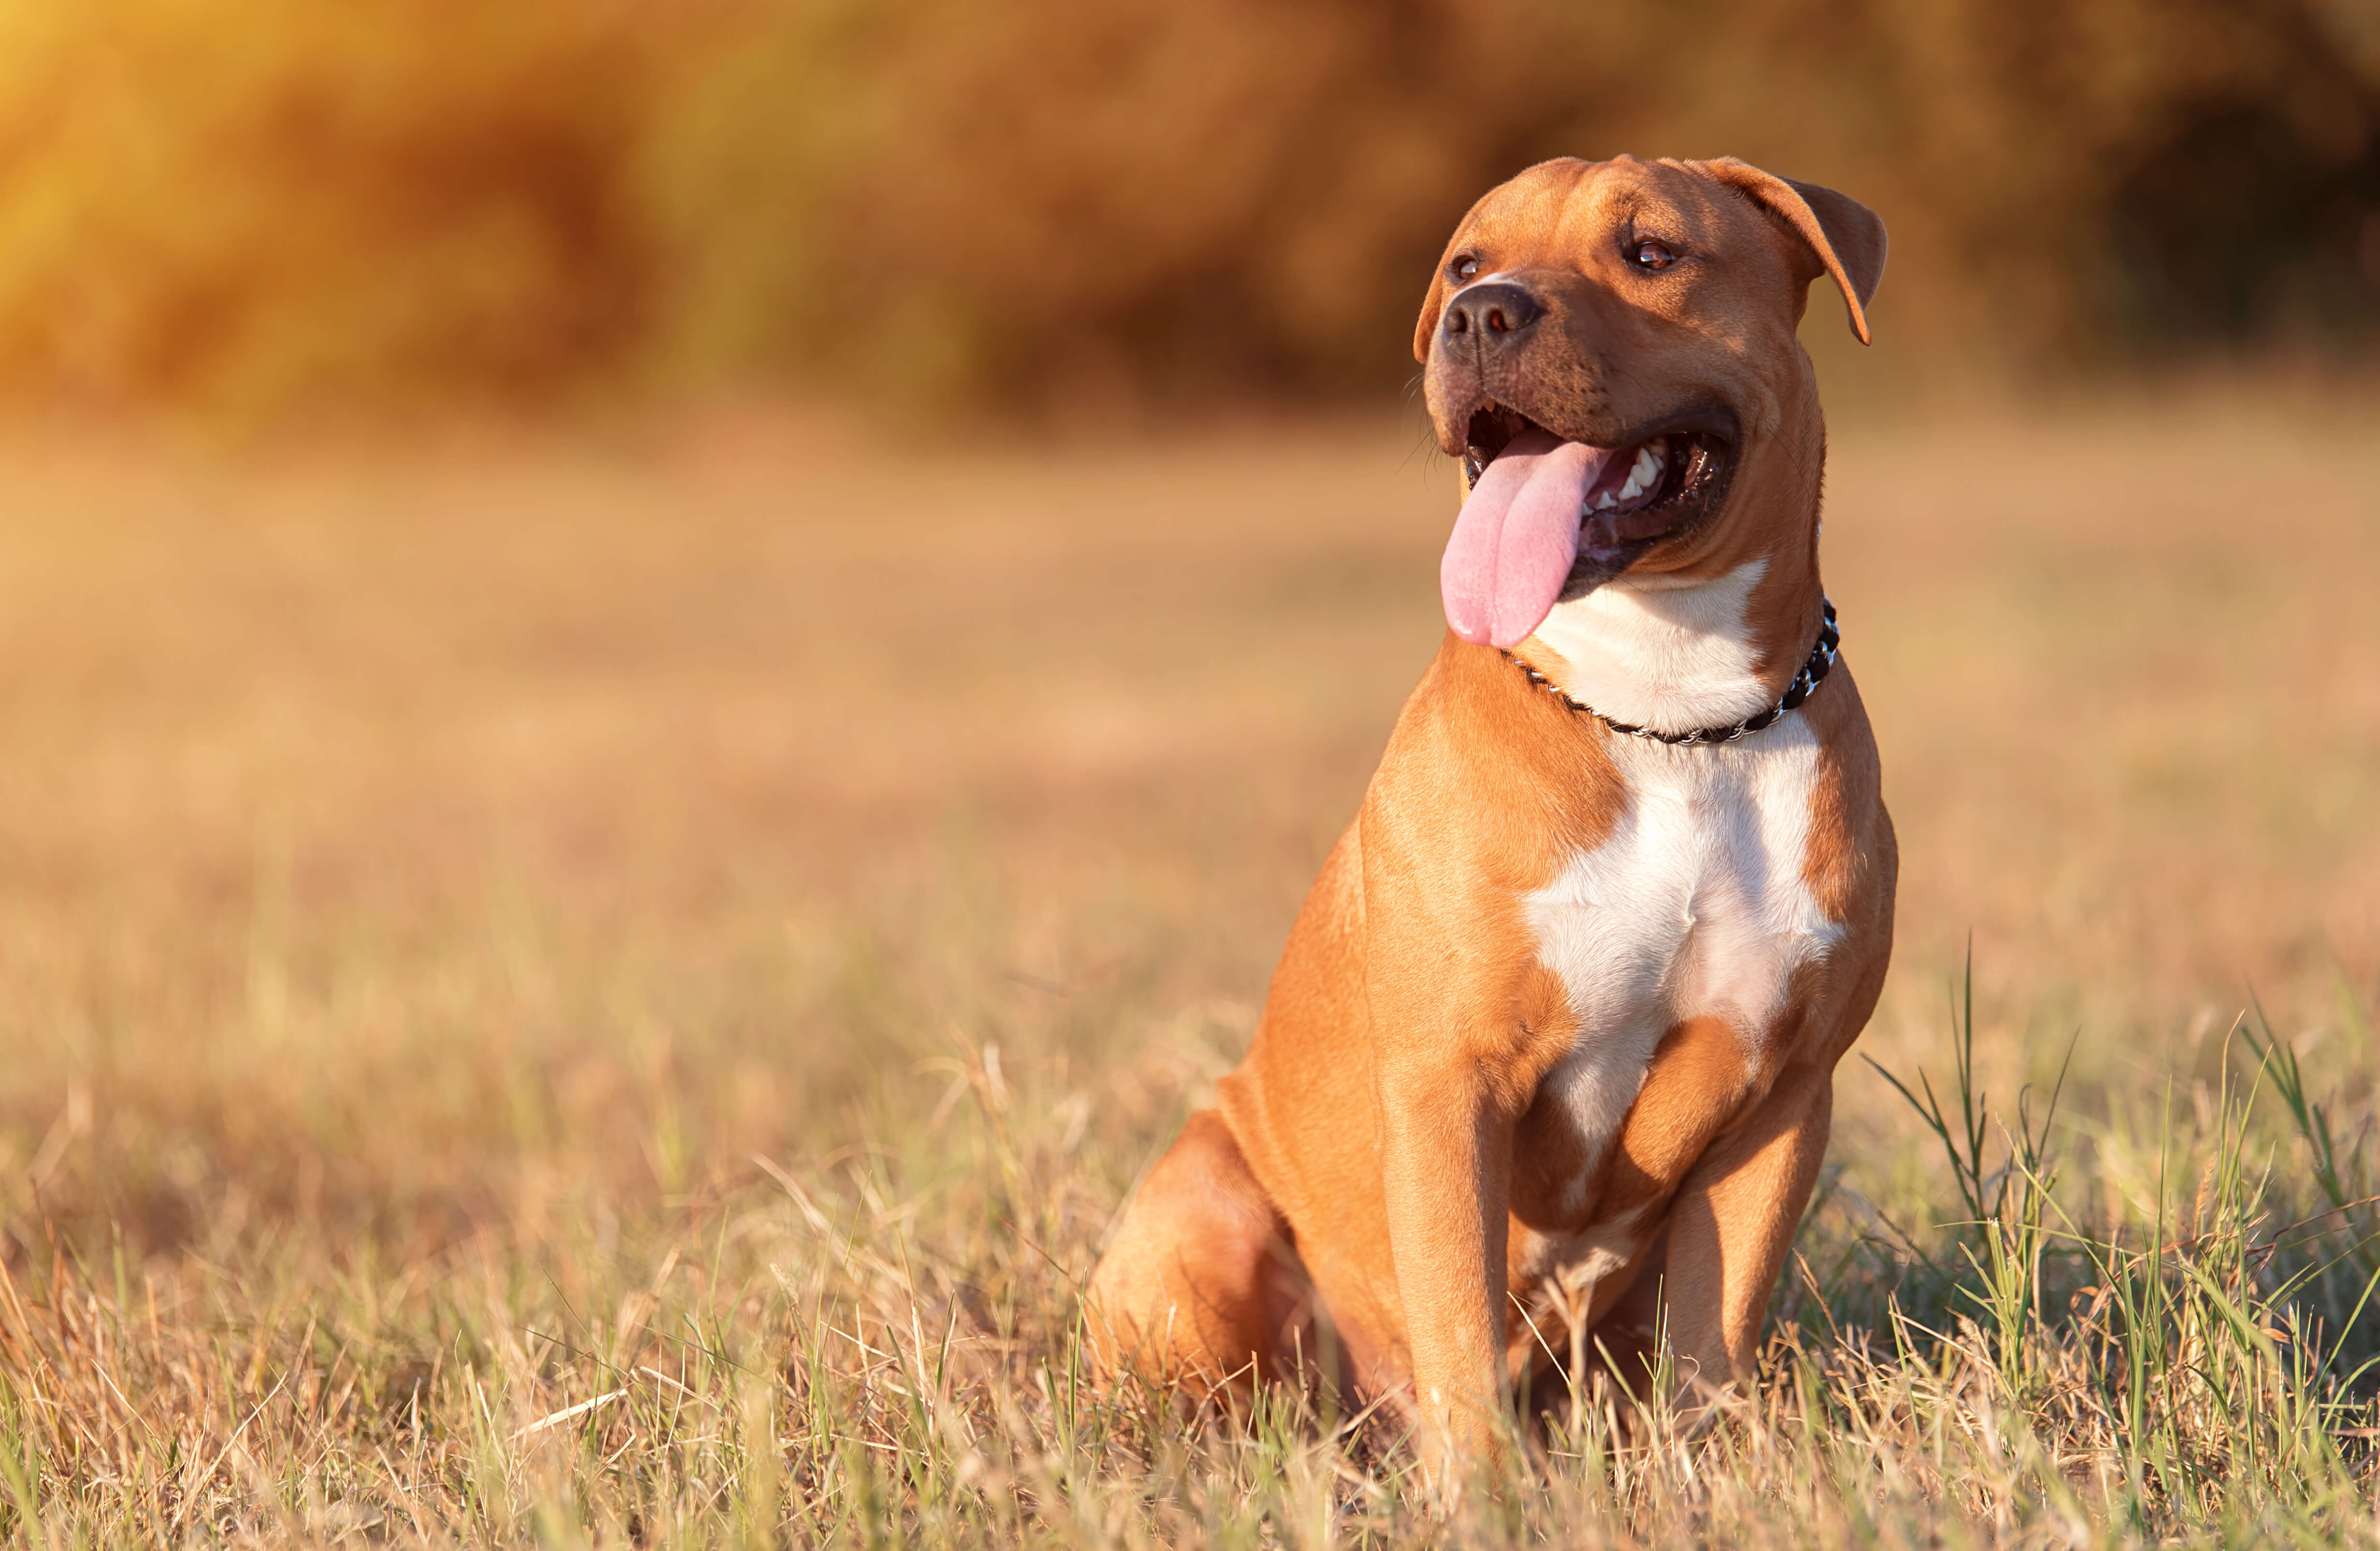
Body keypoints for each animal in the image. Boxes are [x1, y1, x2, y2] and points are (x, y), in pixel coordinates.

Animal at [1090, 155, 1894, 1465]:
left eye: (1652, 252)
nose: (1481, 315)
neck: (1669, 708)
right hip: (1199, 1212)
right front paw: (1486, 1491)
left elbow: (1712, 1341)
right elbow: (1460, 1336)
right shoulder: (1448, 1087)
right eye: (1466, 264)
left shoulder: (1779, 1095)